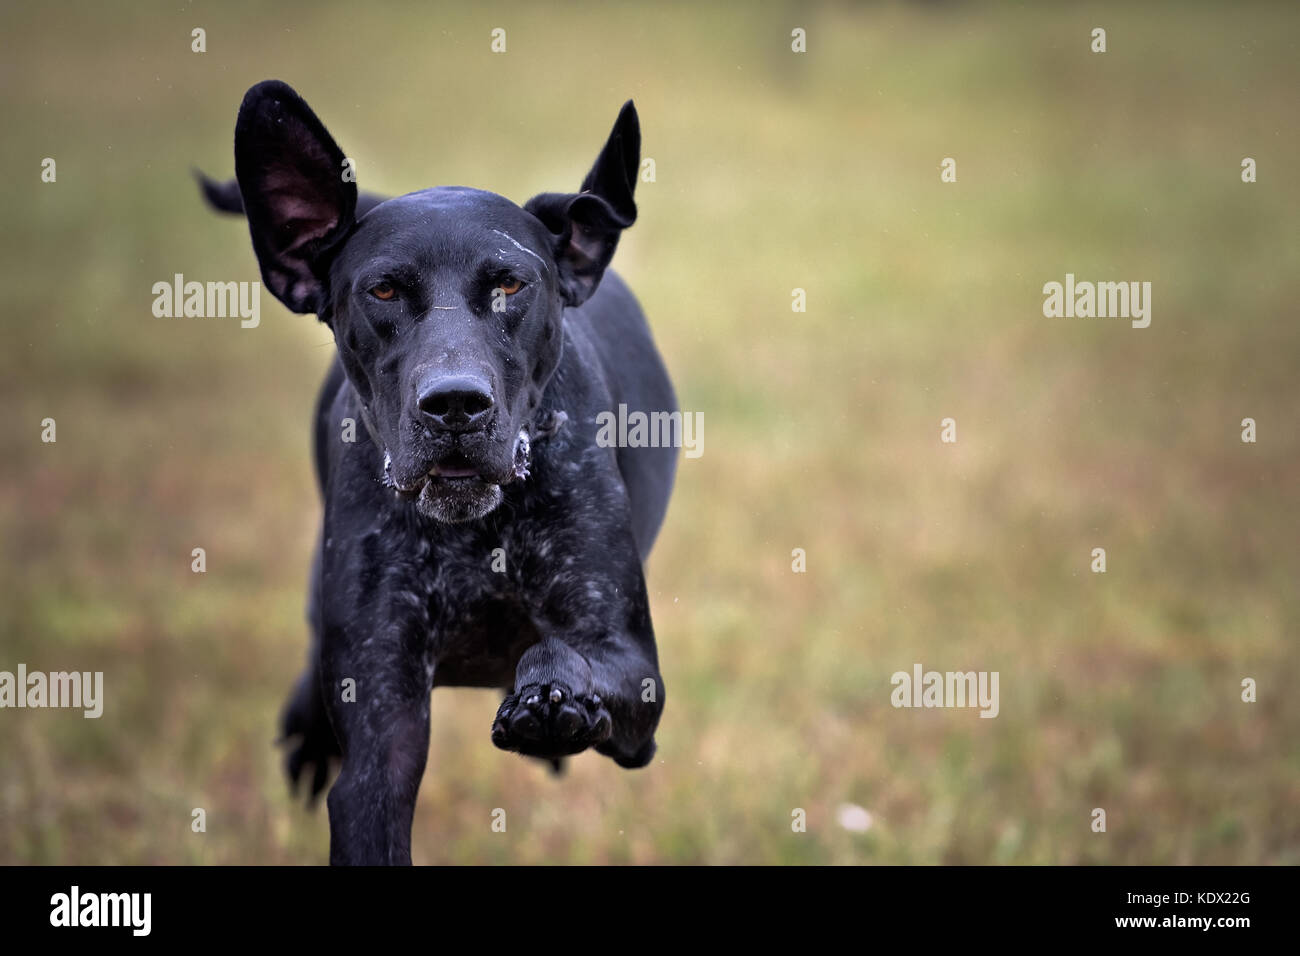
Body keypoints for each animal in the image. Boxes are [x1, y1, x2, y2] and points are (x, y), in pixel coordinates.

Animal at [200, 82, 681, 868]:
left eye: (512, 284)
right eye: (384, 292)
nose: (455, 403)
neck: (473, 532)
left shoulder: (634, 673)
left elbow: (566, 653)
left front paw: (548, 695)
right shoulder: (381, 730)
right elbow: (371, 782)